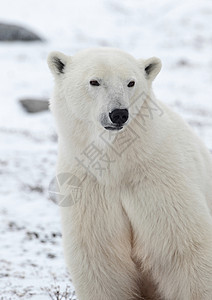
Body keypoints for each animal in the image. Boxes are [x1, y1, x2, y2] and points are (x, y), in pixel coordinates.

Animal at [48, 48, 212, 298]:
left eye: (131, 82)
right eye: (94, 81)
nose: (118, 114)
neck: (120, 165)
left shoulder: (160, 180)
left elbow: (185, 250)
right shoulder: (90, 187)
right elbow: (101, 261)